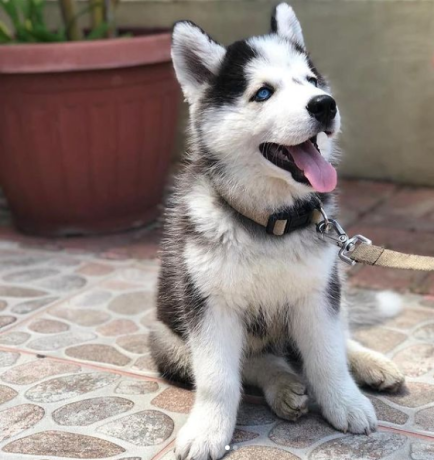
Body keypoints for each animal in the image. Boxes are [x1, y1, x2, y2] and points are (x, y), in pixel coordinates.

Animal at [151, 4, 406, 460]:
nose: (325, 105)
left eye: (311, 81)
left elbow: (327, 356)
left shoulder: (317, 293)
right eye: (263, 93)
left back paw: (370, 364)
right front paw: (209, 428)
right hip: (168, 338)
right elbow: (218, 377)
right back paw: (283, 383)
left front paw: (344, 402)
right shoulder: (209, 304)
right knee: (252, 362)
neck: (271, 221)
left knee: (339, 336)